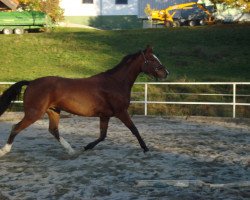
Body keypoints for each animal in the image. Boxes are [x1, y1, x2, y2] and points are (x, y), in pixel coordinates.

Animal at [0, 46, 169, 157]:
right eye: (152, 59)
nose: (166, 73)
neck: (115, 83)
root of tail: (31, 83)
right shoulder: (121, 112)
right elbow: (134, 130)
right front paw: (146, 149)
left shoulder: (105, 115)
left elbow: (103, 135)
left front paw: (87, 147)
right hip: (34, 113)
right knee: (16, 127)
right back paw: (4, 150)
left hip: (53, 111)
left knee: (53, 130)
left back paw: (71, 151)